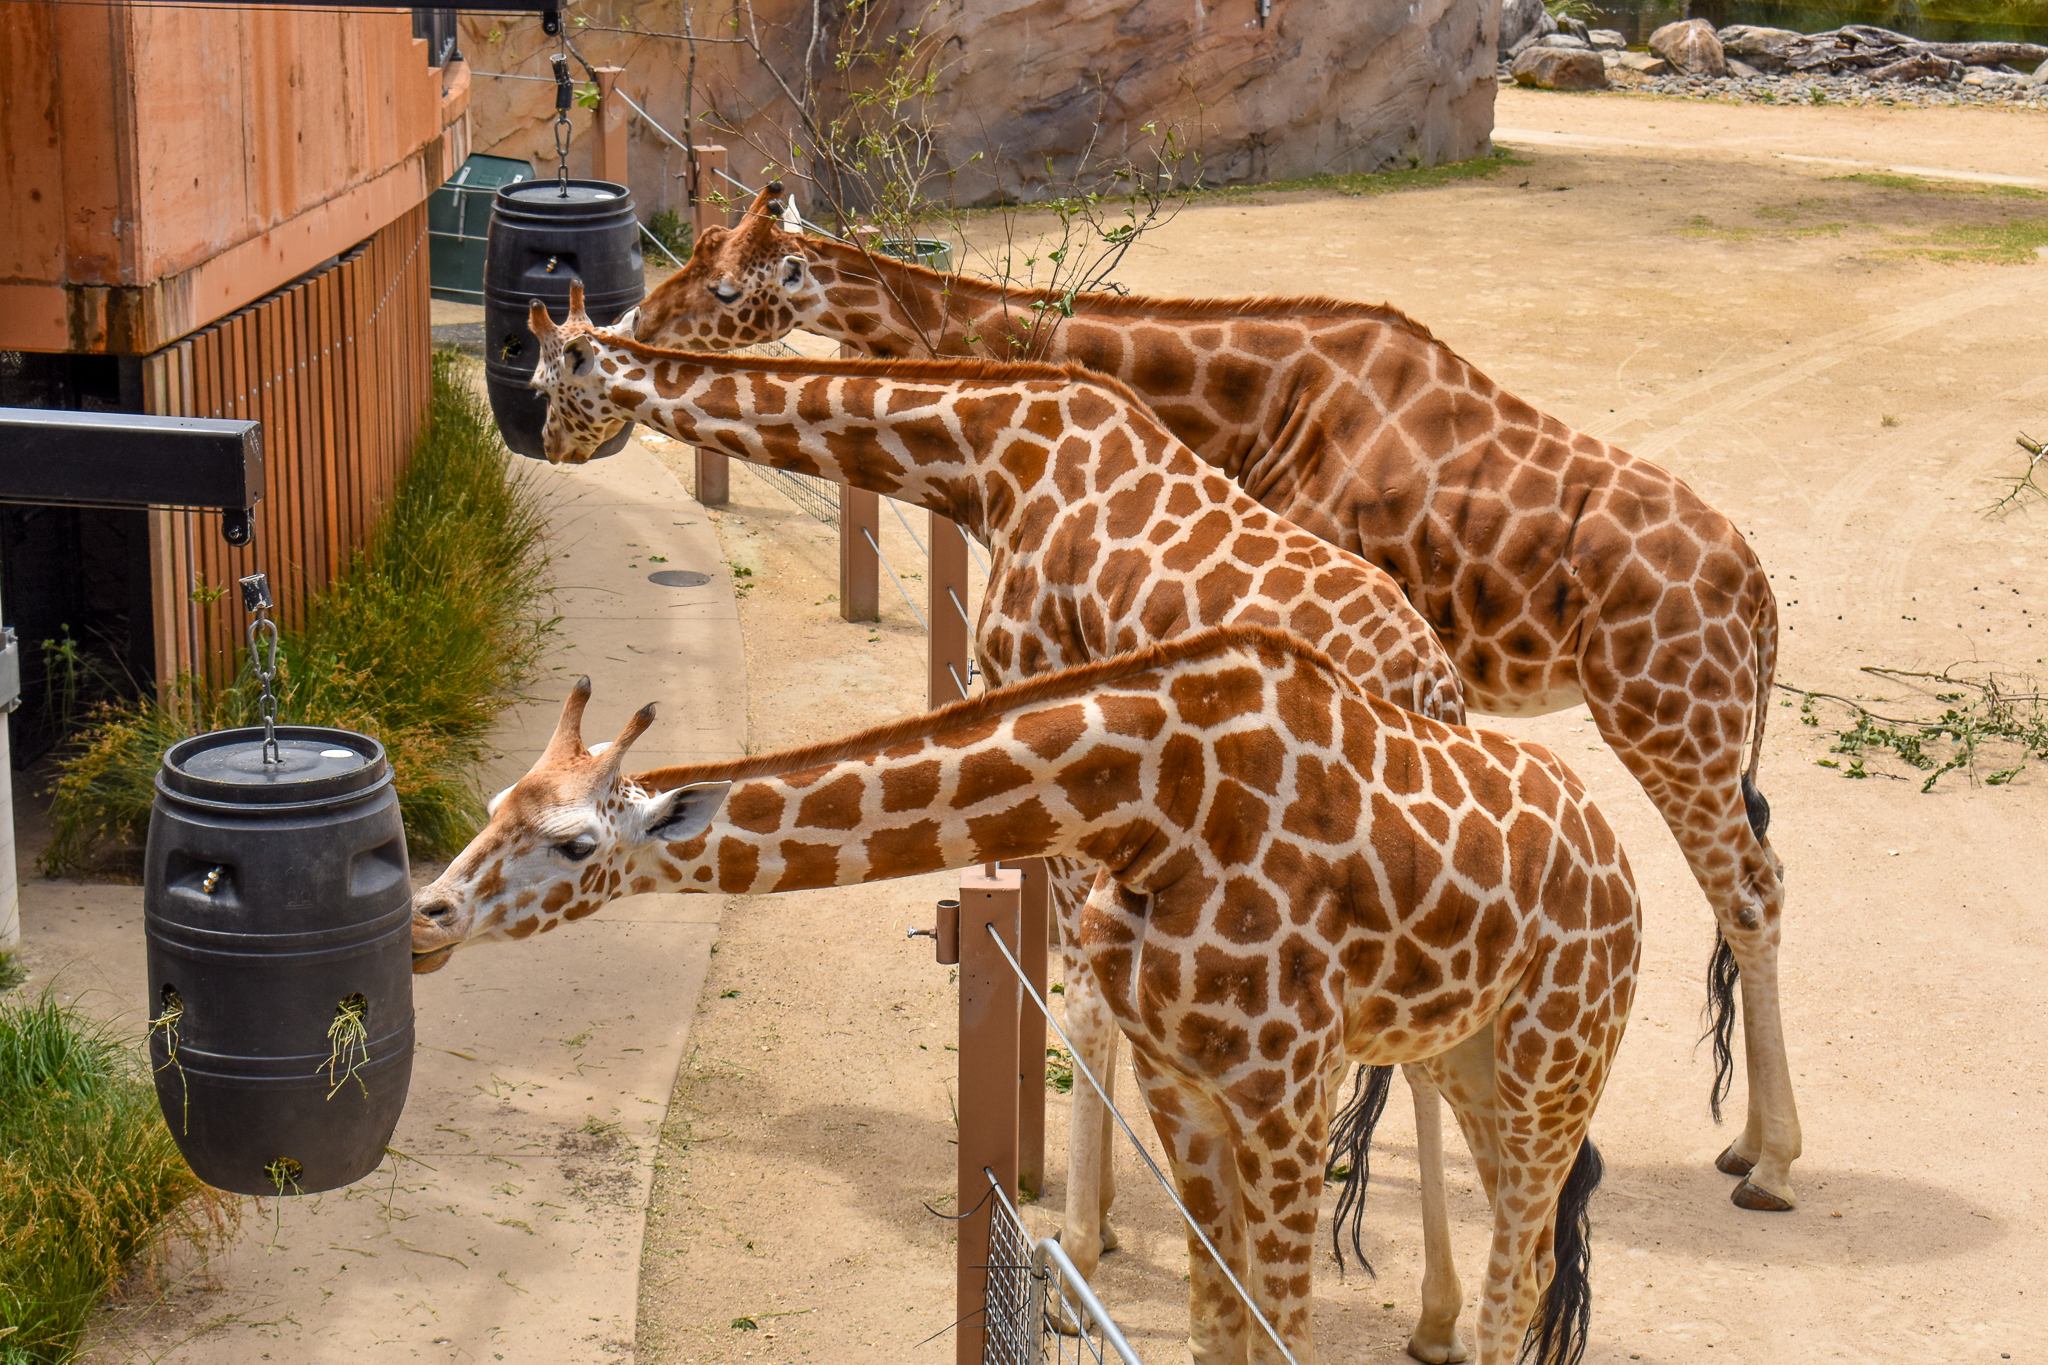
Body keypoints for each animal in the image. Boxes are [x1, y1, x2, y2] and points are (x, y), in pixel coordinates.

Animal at [410, 624, 1642, 1365]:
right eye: (494, 800)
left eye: (574, 844)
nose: (424, 918)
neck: (1157, 808)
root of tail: (1616, 858)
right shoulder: (1184, 1082)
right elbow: (1218, 1323)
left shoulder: (1286, 1093)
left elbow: (1279, 1328)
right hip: (1467, 1055)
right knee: (1523, 1241)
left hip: (1558, 1055)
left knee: (1524, 1262)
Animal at [531, 286, 1476, 1352]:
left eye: (548, 379)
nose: (549, 444)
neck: (988, 458)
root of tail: (1431, 687)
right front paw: (1101, 1218)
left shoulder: (1062, 727)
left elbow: (1086, 1000)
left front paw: (1077, 1261)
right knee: (1434, 1056)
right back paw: (1438, 1316)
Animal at [626, 185, 1797, 1213]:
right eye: (698, 260)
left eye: (723, 288)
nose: (638, 319)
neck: (1255, 397)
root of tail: (1757, 597)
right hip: (1694, 729)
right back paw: (1738, 1143)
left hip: (1663, 717)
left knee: (1748, 890)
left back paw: (1772, 1166)